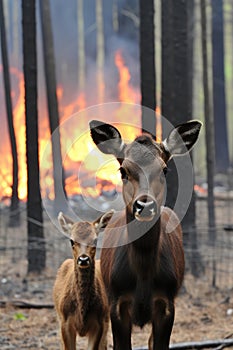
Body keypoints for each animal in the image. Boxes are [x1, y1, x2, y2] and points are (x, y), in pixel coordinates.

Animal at [53, 211, 114, 350]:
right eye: (72, 240)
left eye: (95, 240)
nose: (83, 259)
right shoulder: (65, 322)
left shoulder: (99, 323)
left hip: (106, 318)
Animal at [89, 119, 202, 348]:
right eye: (123, 170)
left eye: (164, 170)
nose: (144, 205)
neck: (143, 271)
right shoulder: (117, 304)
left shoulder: (166, 304)